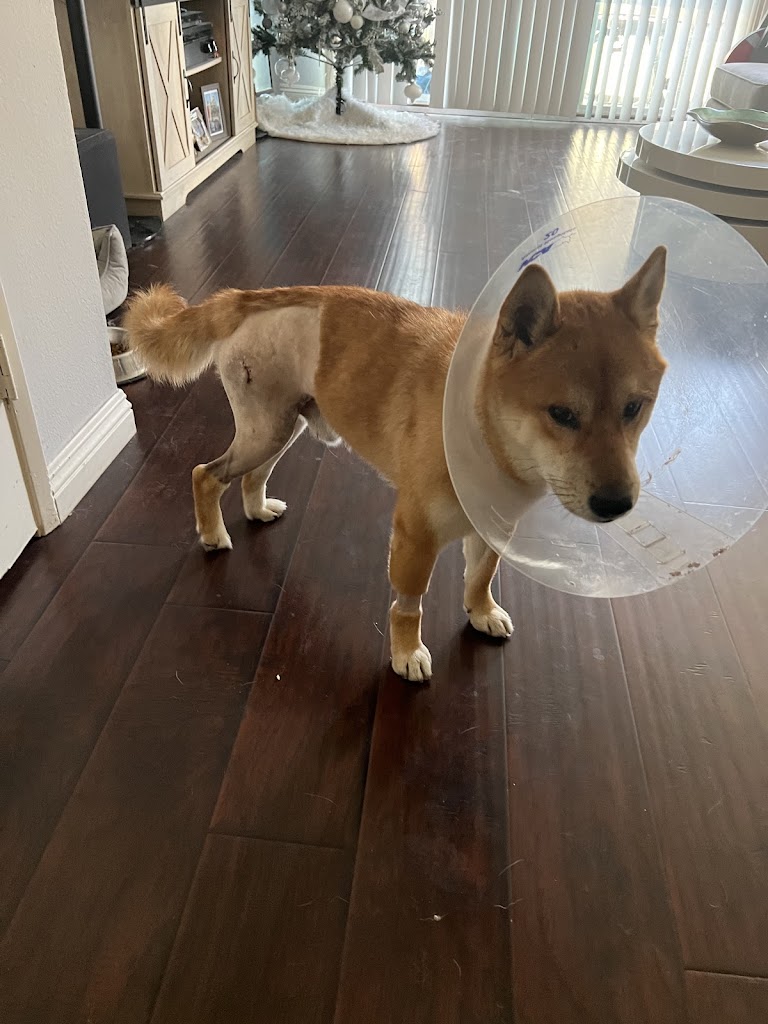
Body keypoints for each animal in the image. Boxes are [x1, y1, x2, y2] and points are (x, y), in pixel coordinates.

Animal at [124, 247, 667, 682]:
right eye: (562, 414)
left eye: (634, 408)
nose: (617, 504)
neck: (483, 435)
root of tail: (251, 296)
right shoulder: (415, 536)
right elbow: (409, 605)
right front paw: (406, 653)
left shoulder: (491, 529)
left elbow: (481, 577)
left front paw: (481, 612)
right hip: (265, 432)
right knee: (205, 475)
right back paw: (213, 535)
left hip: (281, 428)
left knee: (250, 478)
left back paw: (258, 511)